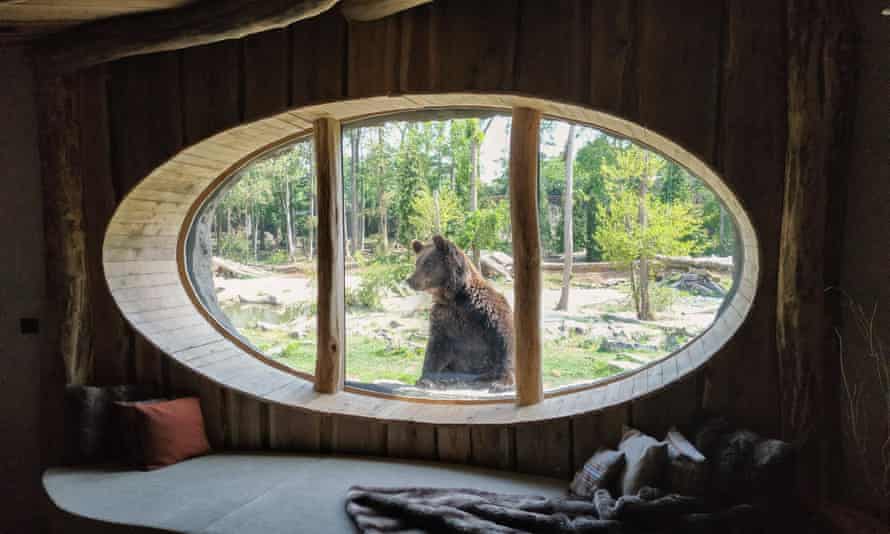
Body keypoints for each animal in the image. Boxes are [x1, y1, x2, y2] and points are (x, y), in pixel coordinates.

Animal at [404, 237, 510, 392]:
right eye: (417, 263)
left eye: (428, 263)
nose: (409, 280)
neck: (454, 297)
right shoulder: (443, 316)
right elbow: (435, 347)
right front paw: (425, 380)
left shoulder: (487, 312)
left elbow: (504, 341)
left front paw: (501, 383)